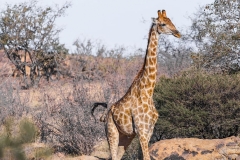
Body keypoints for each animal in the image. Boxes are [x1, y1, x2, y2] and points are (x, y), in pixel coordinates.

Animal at [92, 10, 180, 160]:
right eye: (163, 24)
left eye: (171, 21)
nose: (178, 33)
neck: (148, 91)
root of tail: (105, 115)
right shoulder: (141, 130)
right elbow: (146, 157)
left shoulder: (149, 130)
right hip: (111, 132)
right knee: (113, 156)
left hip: (126, 136)